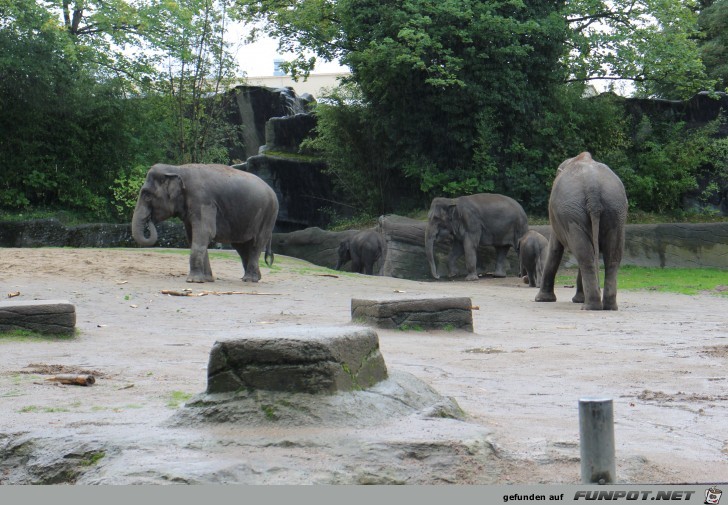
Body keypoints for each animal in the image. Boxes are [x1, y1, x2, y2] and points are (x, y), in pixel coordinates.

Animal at [532, 152, 628, 310]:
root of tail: (593, 188)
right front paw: (578, 299)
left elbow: (555, 248)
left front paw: (541, 300)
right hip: (615, 209)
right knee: (611, 256)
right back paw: (608, 306)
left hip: (573, 213)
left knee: (585, 255)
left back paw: (591, 306)